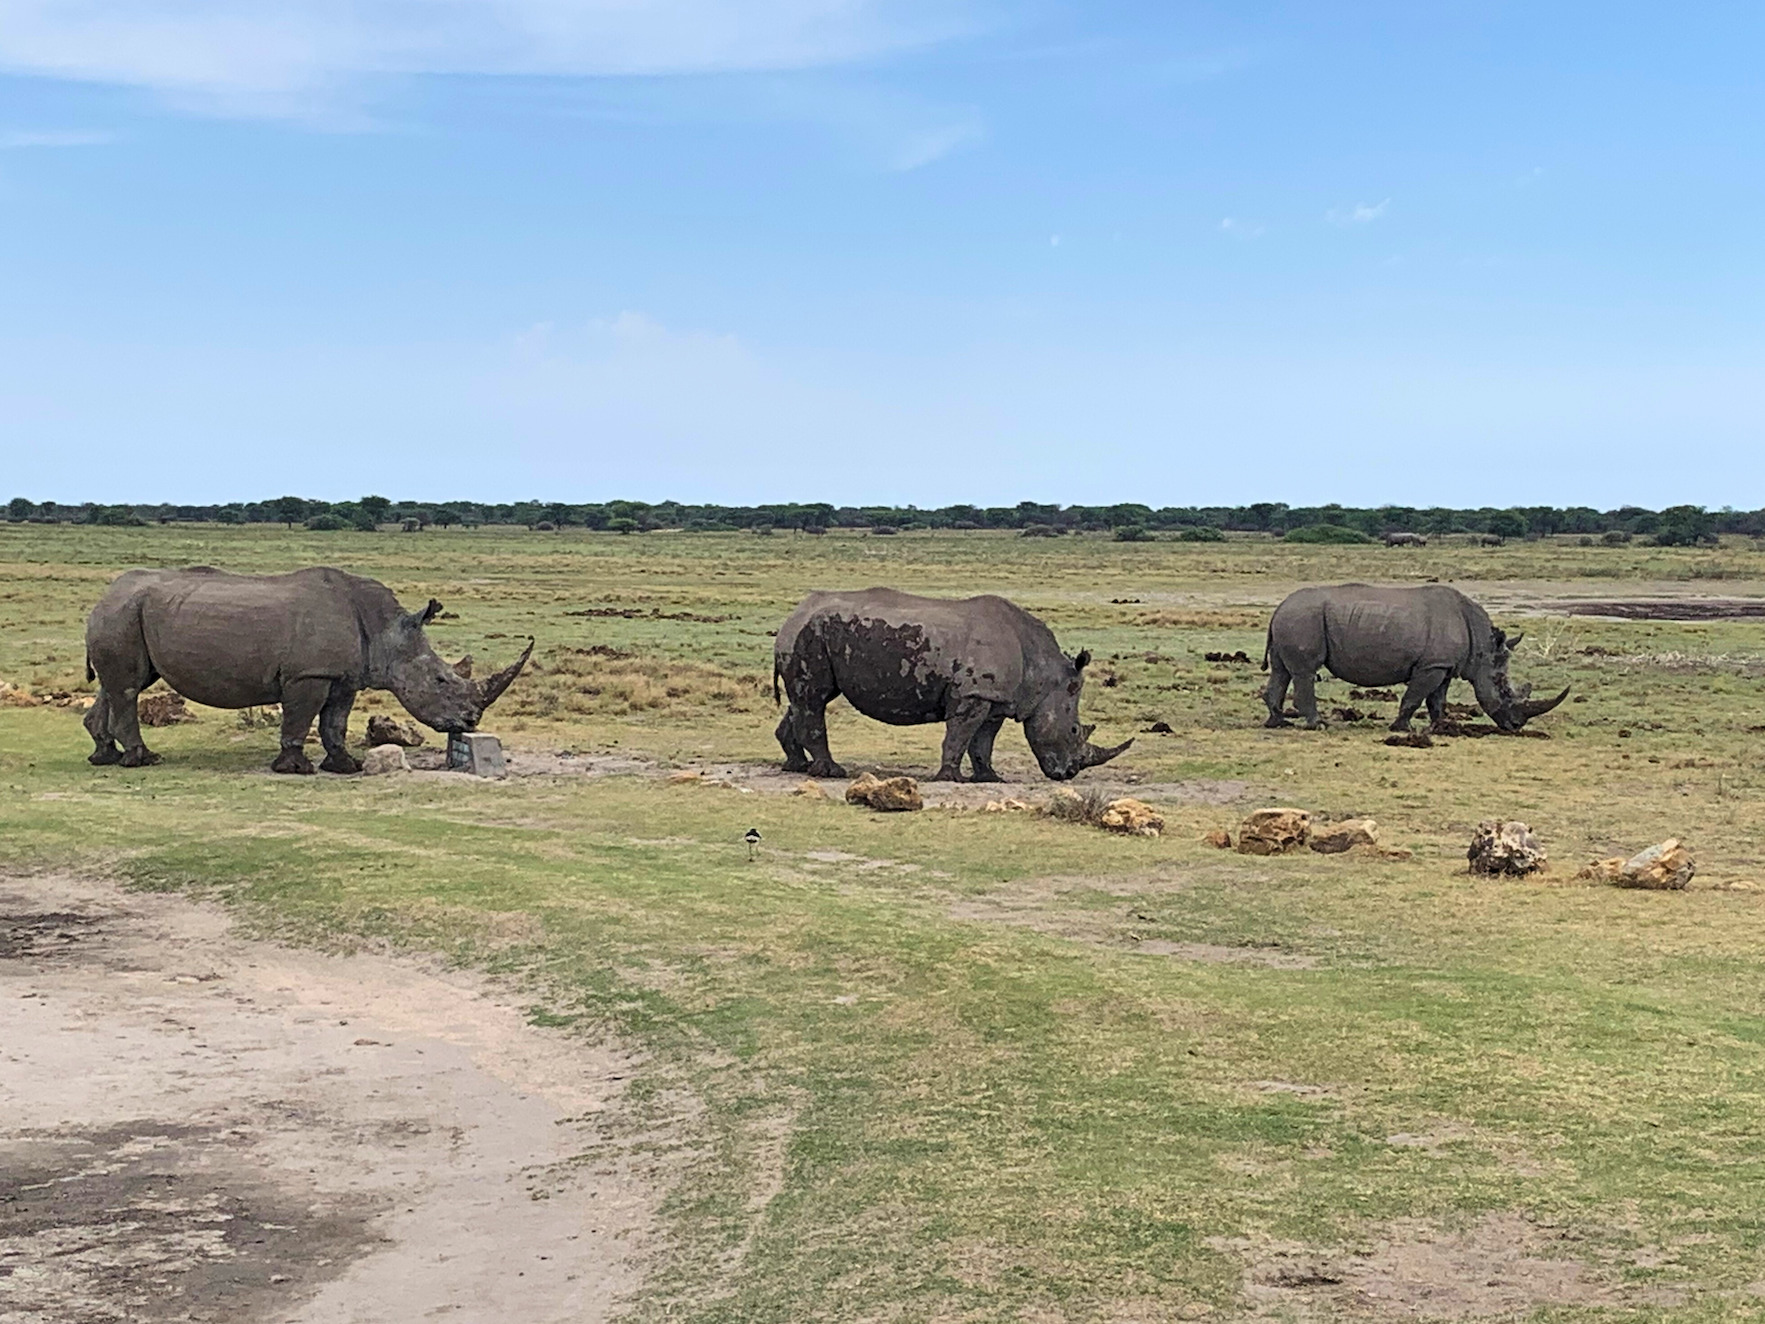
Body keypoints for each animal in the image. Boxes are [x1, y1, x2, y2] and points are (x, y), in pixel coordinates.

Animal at [84, 564, 529, 773]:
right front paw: (296, 769)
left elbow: (336, 722)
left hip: (124, 614)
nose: (470, 723)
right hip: (122, 614)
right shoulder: (308, 674)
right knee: (127, 687)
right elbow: (300, 717)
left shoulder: (344, 677)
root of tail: (104, 594)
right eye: (440, 680)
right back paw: (144, 760)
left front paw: (345, 767)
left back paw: (104, 757)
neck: (386, 630)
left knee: (118, 685)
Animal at [773, 589, 1129, 783]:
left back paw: (798, 767)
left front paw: (990, 779)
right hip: (811, 635)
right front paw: (951, 778)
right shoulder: (972, 694)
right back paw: (832, 772)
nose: (1069, 773)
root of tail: (795, 613)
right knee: (814, 698)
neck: (1043, 672)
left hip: (813, 633)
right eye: (1074, 731)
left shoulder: (994, 699)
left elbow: (982, 742)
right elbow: (959, 736)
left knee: (804, 700)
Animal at [1263, 586, 1567, 737]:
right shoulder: (1431, 666)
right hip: (1303, 618)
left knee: (1281, 671)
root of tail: (1278, 607)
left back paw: (1278, 723)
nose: (1516, 726)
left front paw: (1441, 728)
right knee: (1304, 672)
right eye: (1502, 687)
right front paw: (1403, 729)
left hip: (1294, 618)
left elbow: (1437, 700)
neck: (1483, 646)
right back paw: (1318, 725)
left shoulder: (1443, 666)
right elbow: (1415, 697)